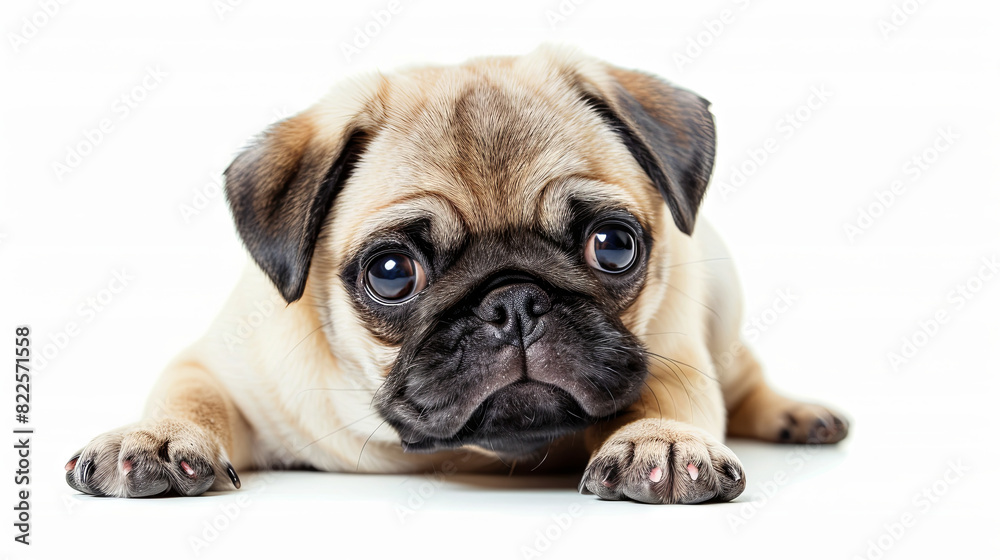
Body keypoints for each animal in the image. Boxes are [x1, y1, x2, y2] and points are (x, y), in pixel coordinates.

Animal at [64, 46, 844, 506]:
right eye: (390, 273)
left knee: (746, 380)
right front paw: (154, 437)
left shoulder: (673, 352)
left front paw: (663, 442)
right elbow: (189, 395)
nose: (515, 302)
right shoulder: (224, 368)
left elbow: (670, 395)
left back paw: (797, 414)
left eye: (614, 246)